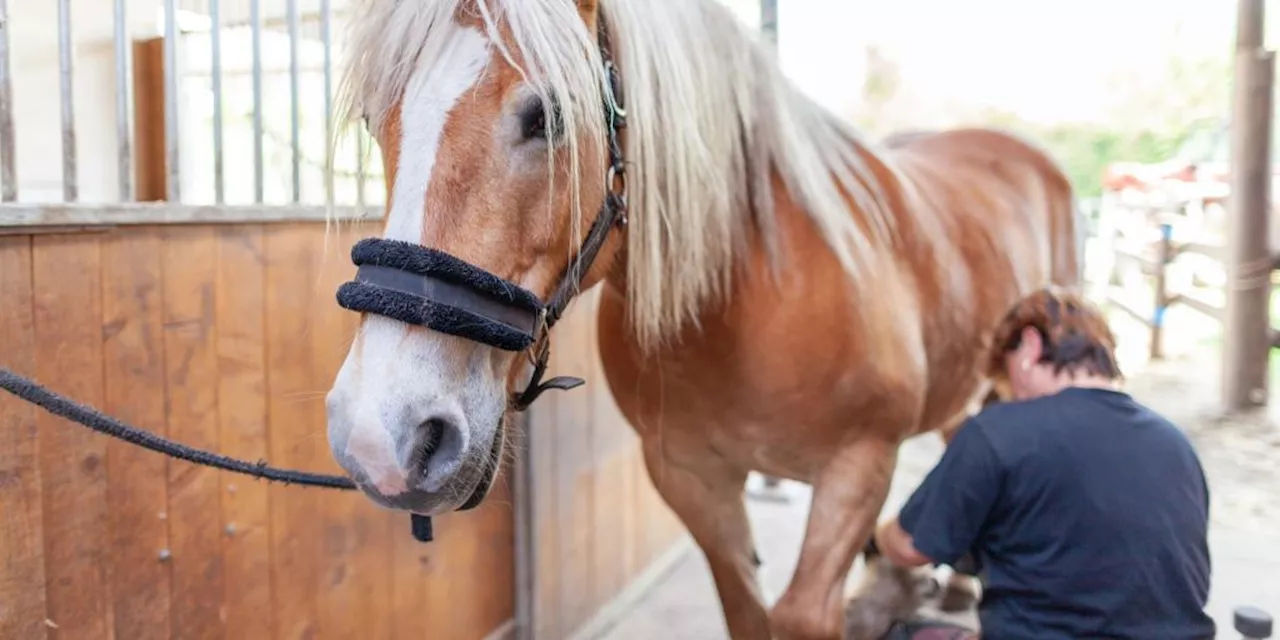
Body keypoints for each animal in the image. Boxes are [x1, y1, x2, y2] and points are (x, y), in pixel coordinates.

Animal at [320, 1, 1080, 640]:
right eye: (376, 119)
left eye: (549, 116)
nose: (381, 437)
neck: (747, 302)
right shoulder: (691, 478)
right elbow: (749, 610)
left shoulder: (858, 470)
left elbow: (802, 615)